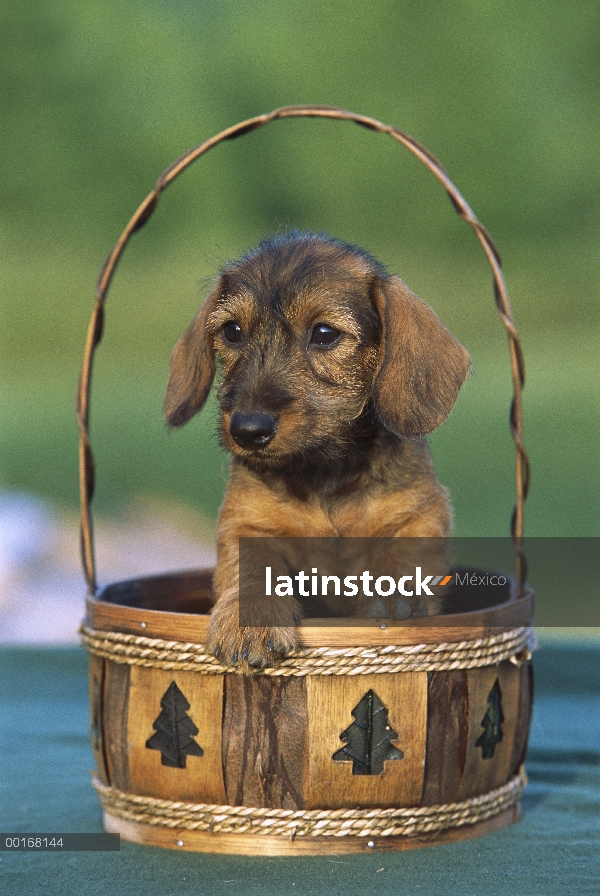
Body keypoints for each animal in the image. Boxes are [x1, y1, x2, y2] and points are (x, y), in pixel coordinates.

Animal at [166, 234, 472, 668]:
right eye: (232, 330)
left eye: (324, 333)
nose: (248, 430)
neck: (322, 468)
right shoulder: (245, 524)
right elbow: (252, 568)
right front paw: (250, 619)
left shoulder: (422, 510)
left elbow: (405, 548)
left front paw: (397, 593)